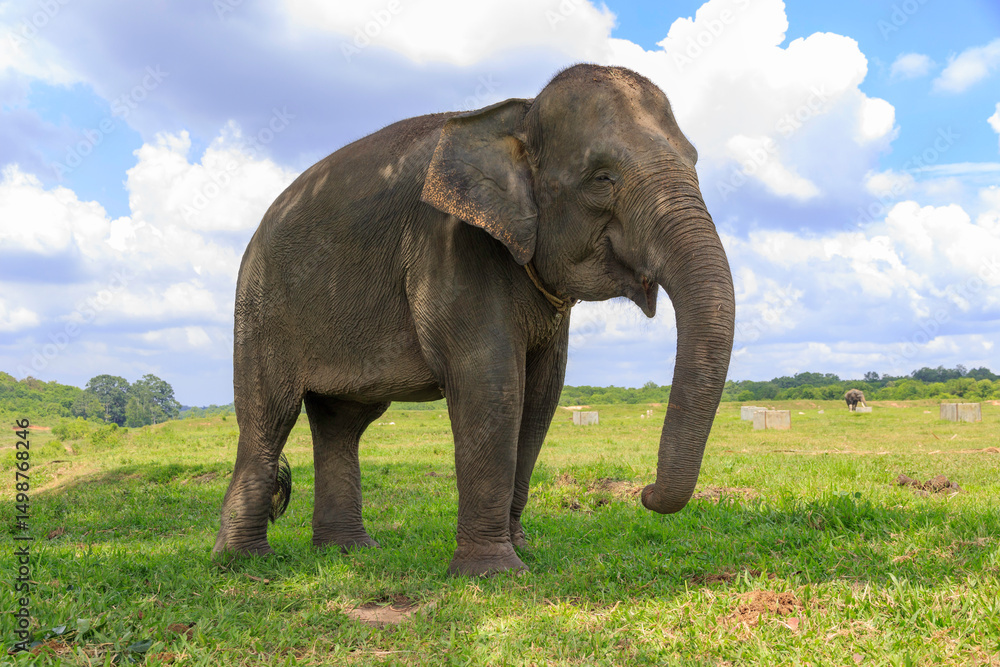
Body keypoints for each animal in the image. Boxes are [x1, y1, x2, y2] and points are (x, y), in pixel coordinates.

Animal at [213, 64, 735, 576]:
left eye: (694, 161)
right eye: (601, 178)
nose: (645, 493)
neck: (518, 113)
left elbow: (542, 395)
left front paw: (523, 551)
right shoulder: (451, 246)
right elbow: (491, 382)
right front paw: (494, 574)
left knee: (343, 423)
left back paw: (348, 552)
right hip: (260, 310)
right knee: (269, 415)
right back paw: (245, 563)